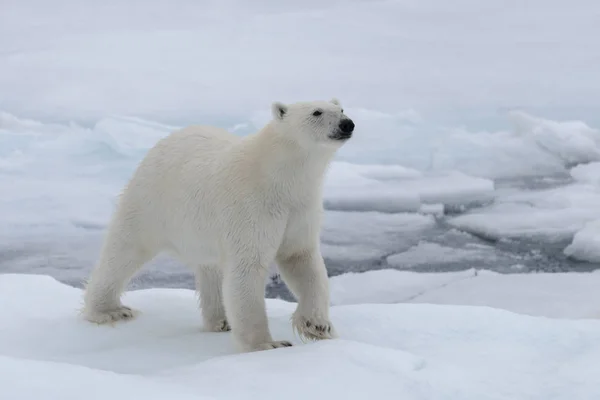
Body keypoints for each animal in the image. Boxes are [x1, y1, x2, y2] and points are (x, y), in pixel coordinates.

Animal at [79, 98, 352, 352]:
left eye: (341, 109)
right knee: (124, 250)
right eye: (316, 112)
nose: (347, 124)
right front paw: (267, 344)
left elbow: (302, 261)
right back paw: (109, 310)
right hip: (151, 202)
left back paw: (221, 321)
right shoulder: (253, 208)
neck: (279, 176)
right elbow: (247, 270)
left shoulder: (300, 209)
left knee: (211, 269)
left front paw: (318, 326)